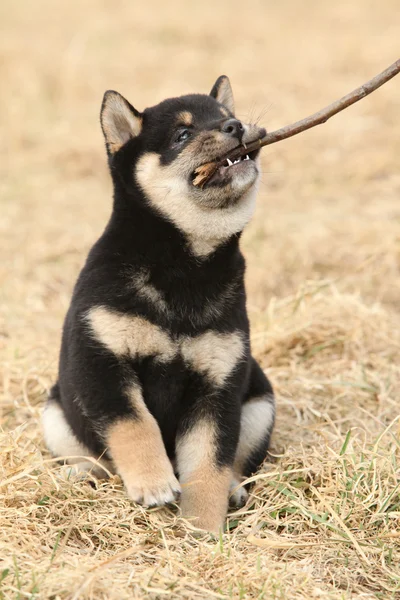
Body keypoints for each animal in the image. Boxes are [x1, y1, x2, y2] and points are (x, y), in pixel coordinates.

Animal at [43, 76, 276, 536]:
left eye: (225, 118)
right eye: (182, 135)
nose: (237, 126)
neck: (186, 267)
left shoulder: (217, 385)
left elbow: (208, 463)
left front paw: (202, 528)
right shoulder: (103, 363)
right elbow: (135, 425)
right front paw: (153, 483)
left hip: (260, 403)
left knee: (237, 461)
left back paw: (234, 489)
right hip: (55, 412)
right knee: (91, 456)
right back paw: (82, 474)